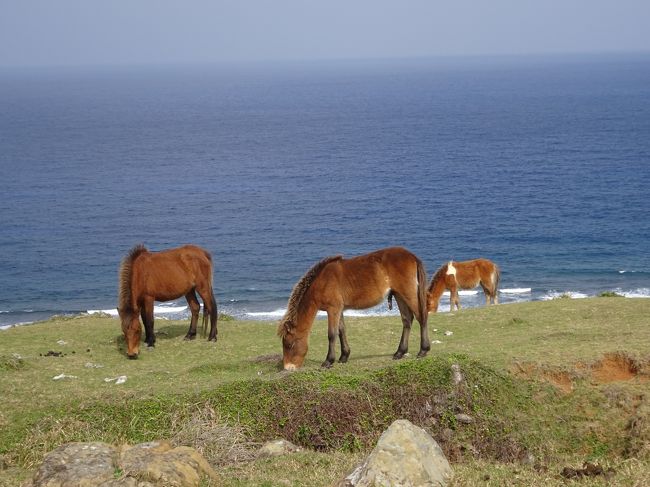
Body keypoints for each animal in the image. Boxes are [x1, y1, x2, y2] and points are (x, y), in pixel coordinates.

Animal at [276, 248, 428, 370]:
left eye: (289, 344)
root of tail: (412, 256)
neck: (322, 282)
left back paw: (423, 350)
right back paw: (400, 352)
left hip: (408, 293)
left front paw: (328, 361)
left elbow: (332, 334)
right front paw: (344, 356)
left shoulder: (333, 309)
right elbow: (341, 330)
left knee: (421, 317)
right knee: (407, 320)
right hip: (399, 295)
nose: (288, 367)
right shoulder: (339, 309)